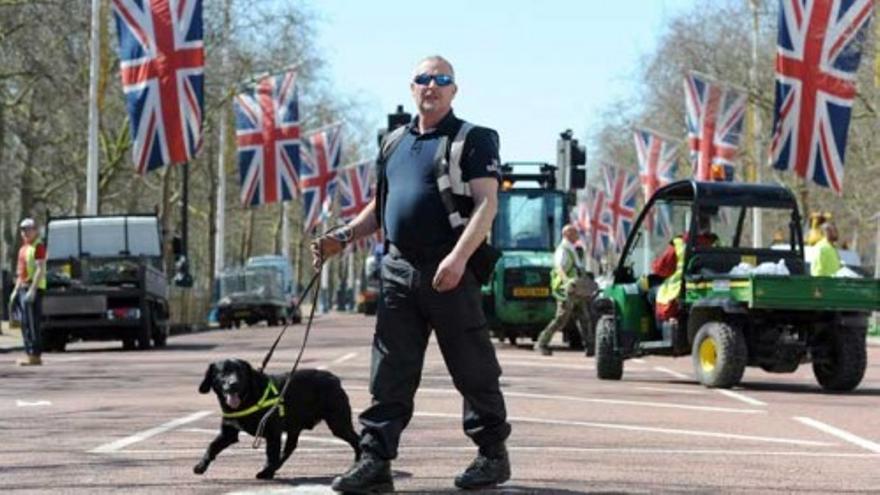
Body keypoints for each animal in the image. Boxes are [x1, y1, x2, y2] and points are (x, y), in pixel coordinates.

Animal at [194, 360, 360, 480]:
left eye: (240, 372)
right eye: (222, 372)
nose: (233, 384)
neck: (248, 399)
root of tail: (334, 378)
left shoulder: (272, 432)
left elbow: (271, 454)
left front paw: (267, 472)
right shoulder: (228, 433)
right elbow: (212, 447)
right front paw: (201, 465)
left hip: (338, 423)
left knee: (357, 440)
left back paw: (357, 463)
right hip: (296, 426)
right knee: (289, 448)